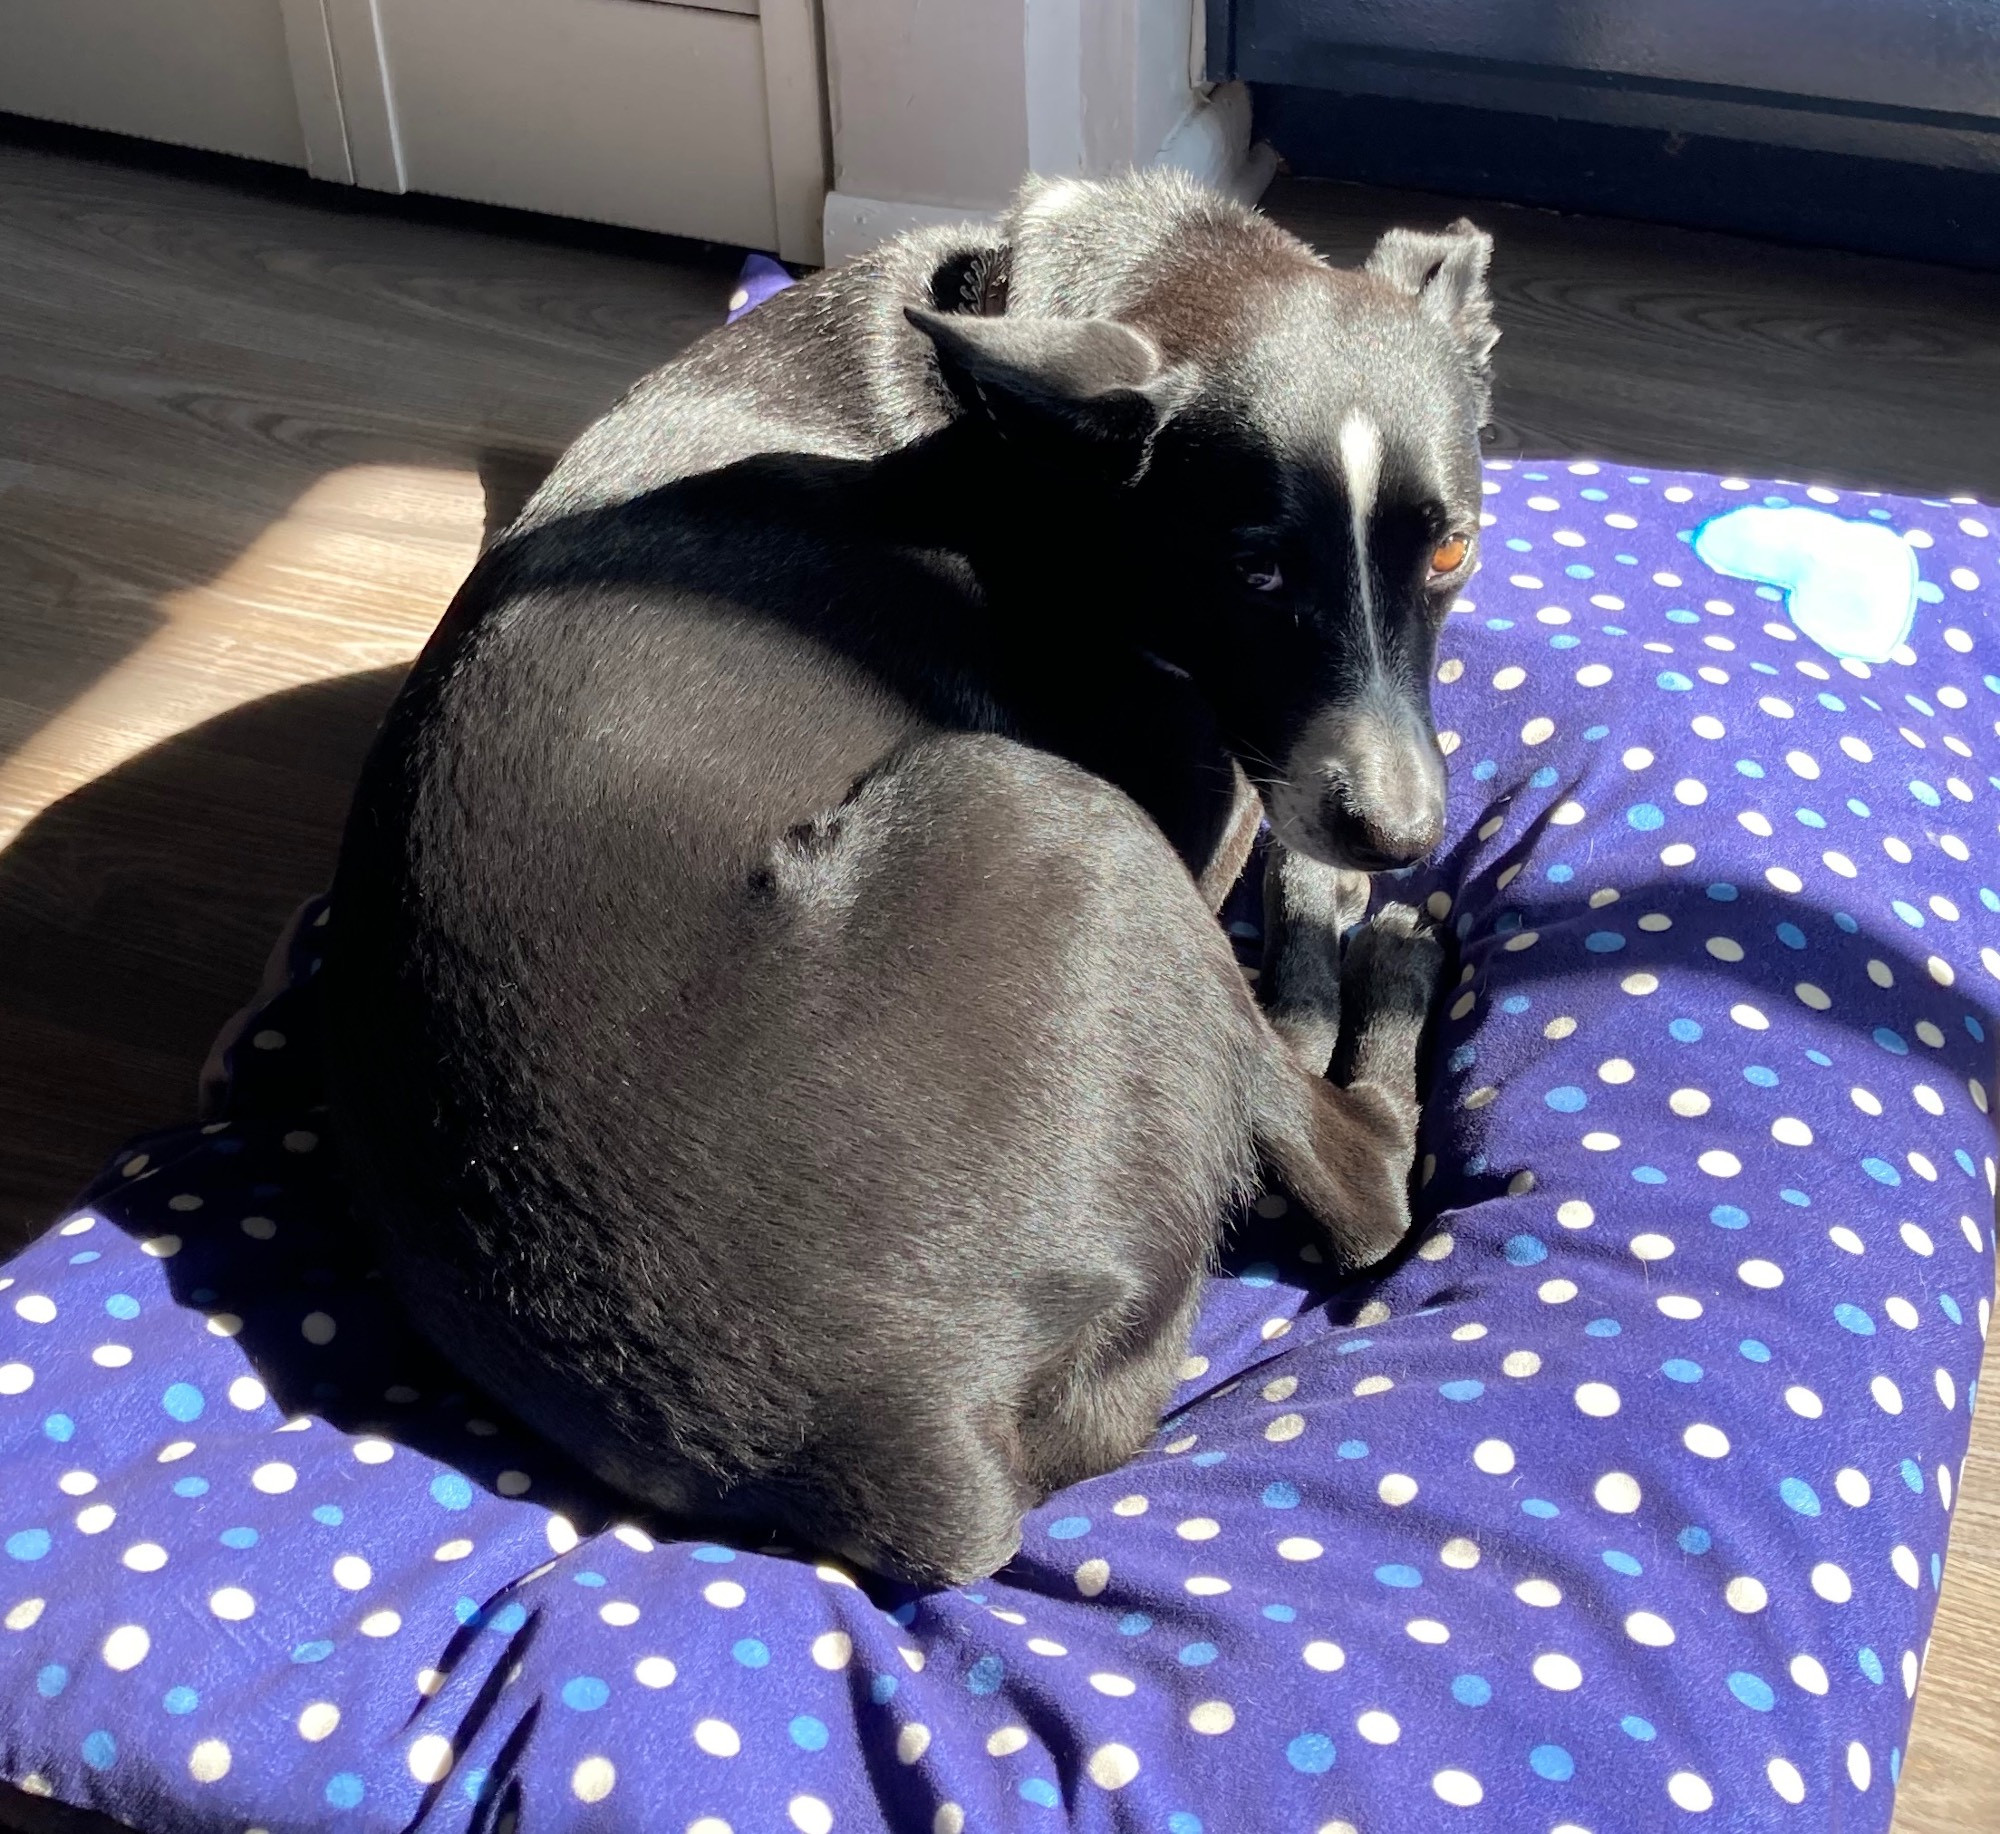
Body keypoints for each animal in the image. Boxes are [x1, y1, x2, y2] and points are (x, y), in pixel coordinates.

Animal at [324, 172, 1504, 1584]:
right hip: (1061, 819)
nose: (1396, 833)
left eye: (1449, 555)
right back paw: (1377, 960)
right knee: (1358, 1182)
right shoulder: (1200, 796)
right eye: (1254, 570)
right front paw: (1326, 899)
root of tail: (915, 1441)